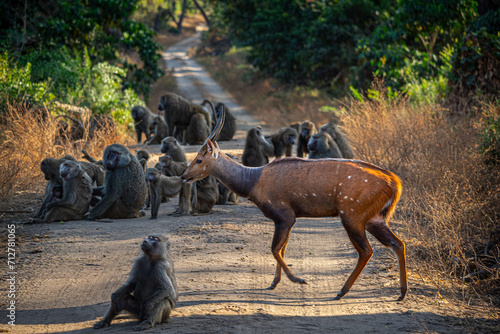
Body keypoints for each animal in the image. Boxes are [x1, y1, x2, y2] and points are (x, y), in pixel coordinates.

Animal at [182, 106, 408, 300]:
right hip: (375, 218)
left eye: (199, 160)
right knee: (398, 243)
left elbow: (275, 249)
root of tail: (395, 183)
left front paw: (298, 280)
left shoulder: (284, 215)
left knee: (366, 251)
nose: (184, 175)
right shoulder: (289, 218)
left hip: (352, 216)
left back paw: (341, 291)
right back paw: (401, 293)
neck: (254, 183)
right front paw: (273, 283)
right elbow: (282, 249)